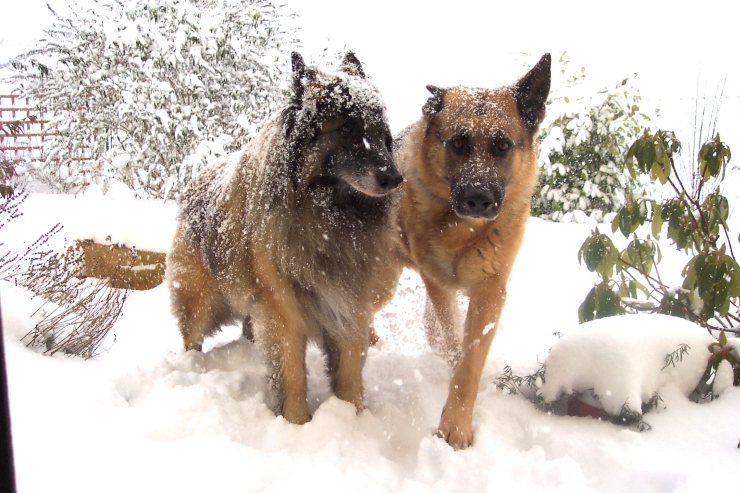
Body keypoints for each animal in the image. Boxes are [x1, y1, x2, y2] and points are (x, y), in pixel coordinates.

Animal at [165, 52, 402, 422]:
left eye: (380, 130)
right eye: (347, 127)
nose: (394, 177)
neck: (327, 216)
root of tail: (198, 178)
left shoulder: (348, 305)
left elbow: (348, 376)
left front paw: (351, 422)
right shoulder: (282, 311)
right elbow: (290, 378)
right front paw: (297, 424)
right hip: (200, 299)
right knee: (192, 337)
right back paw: (193, 367)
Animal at [382, 54, 548, 450]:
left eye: (502, 146)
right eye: (458, 142)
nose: (478, 198)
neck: (463, 232)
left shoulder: (490, 292)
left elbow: (468, 363)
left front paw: (455, 426)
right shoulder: (439, 285)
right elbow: (455, 342)